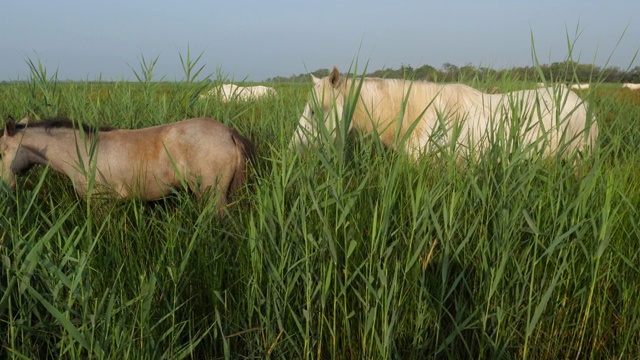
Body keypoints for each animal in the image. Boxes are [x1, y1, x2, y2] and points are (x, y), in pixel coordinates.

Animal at [0, 116, 255, 215]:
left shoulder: (100, 203)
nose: (5, 187)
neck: (81, 151)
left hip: (213, 196)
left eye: (2, 151)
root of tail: (229, 133)